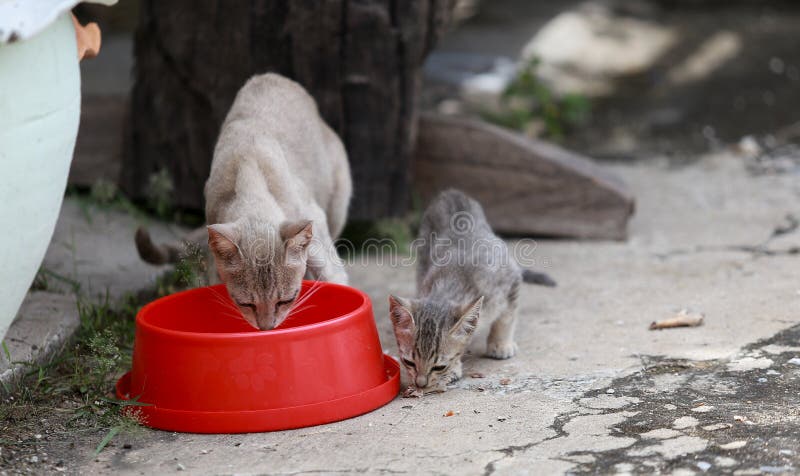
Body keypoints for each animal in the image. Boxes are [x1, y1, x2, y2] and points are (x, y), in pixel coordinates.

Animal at [134, 72, 350, 330]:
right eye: (246, 304)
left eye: (286, 300)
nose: (267, 328)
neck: (248, 170)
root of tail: (273, 76)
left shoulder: (312, 222)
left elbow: (334, 277)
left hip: (338, 202)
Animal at [390, 188, 552, 396]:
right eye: (408, 362)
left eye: (439, 366)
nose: (420, 384)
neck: (453, 281)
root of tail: (451, 192)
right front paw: (455, 368)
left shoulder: (511, 280)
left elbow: (506, 318)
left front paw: (500, 344)